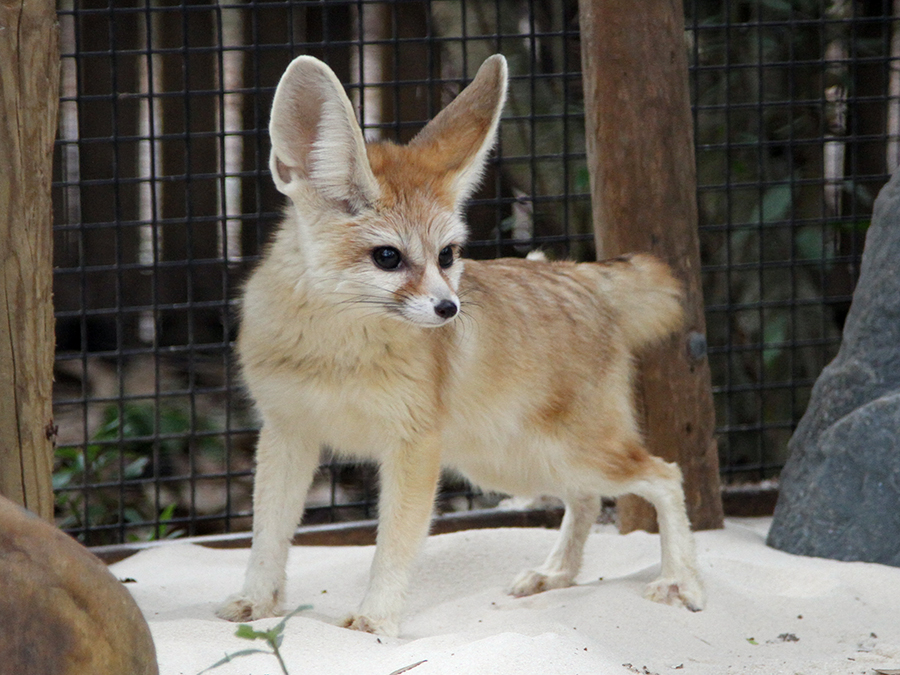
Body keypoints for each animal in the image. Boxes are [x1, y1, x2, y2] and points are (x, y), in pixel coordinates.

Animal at [218, 54, 704, 640]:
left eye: (448, 255)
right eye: (388, 257)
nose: (449, 309)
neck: (335, 355)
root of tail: (577, 273)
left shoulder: (413, 448)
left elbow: (395, 545)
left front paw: (376, 619)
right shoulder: (288, 432)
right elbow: (266, 537)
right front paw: (255, 601)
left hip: (569, 454)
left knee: (664, 475)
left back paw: (680, 581)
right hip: (512, 464)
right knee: (586, 498)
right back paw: (557, 575)